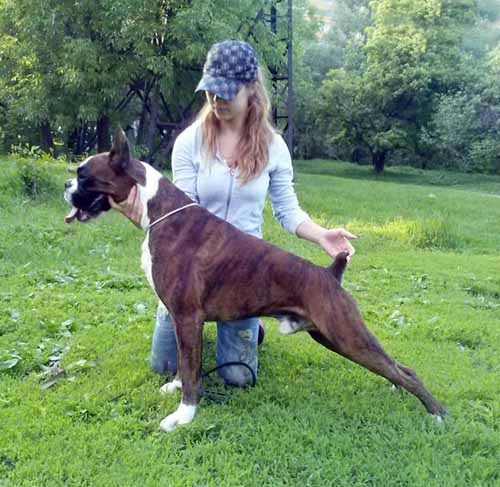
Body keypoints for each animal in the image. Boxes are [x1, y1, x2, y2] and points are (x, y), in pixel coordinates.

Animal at [64, 128, 447, 431]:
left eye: (84, 175)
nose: (66, 184)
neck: (158, 212)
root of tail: (331, 272)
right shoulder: (181, 320)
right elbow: (185, 362)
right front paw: (175, 388)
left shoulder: (187, 316)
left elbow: (191, 369)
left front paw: (183, 416)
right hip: (331, 335)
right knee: (396, 367)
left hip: (346, 335)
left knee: (406, 371)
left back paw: (438, 414)